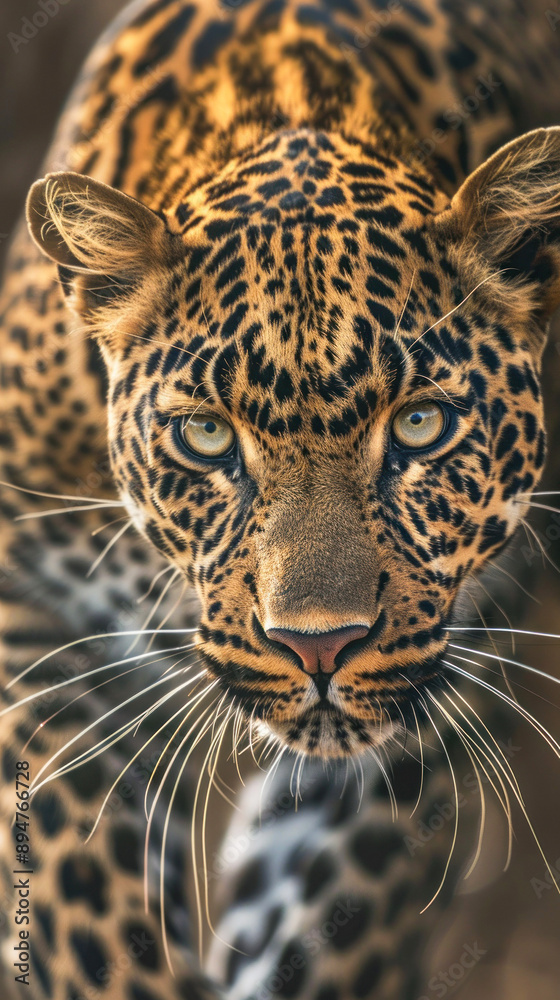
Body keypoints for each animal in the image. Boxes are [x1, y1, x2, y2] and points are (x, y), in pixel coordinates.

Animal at [2, 0, 560, 998]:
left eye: (420, 424)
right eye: (205, 435)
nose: (320, 647)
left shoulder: (454, 665)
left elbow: (330, 926)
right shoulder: (29, 600)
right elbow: (77, 868)